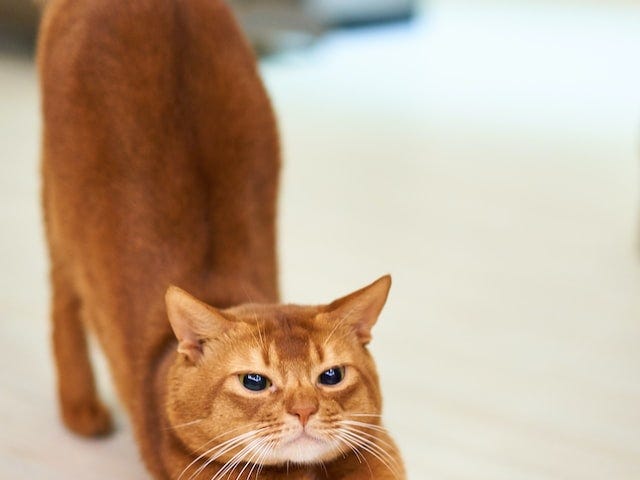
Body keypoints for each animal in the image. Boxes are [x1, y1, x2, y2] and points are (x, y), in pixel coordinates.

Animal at [37, 0, 402, 476]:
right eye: (254, 381)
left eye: (331, 376)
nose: (304, 409)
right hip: (59, 210)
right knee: (65, 300)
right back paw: (81, 409)